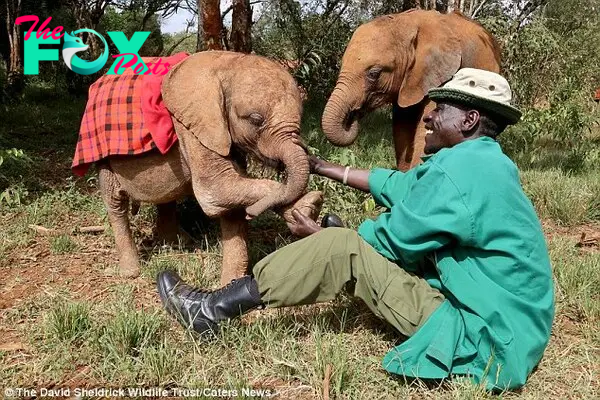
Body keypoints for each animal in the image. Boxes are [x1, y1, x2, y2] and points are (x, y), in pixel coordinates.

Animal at [81, 51, 324, 286]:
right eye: (256, 119)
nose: (253, 213)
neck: (227, 61)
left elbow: (230, 199)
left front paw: (229, 284)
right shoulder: (193, 127)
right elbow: (215, 190)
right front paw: (309, 205)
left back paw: (178, 243)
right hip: (101, 151)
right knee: (115, 201)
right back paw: (131, 272)